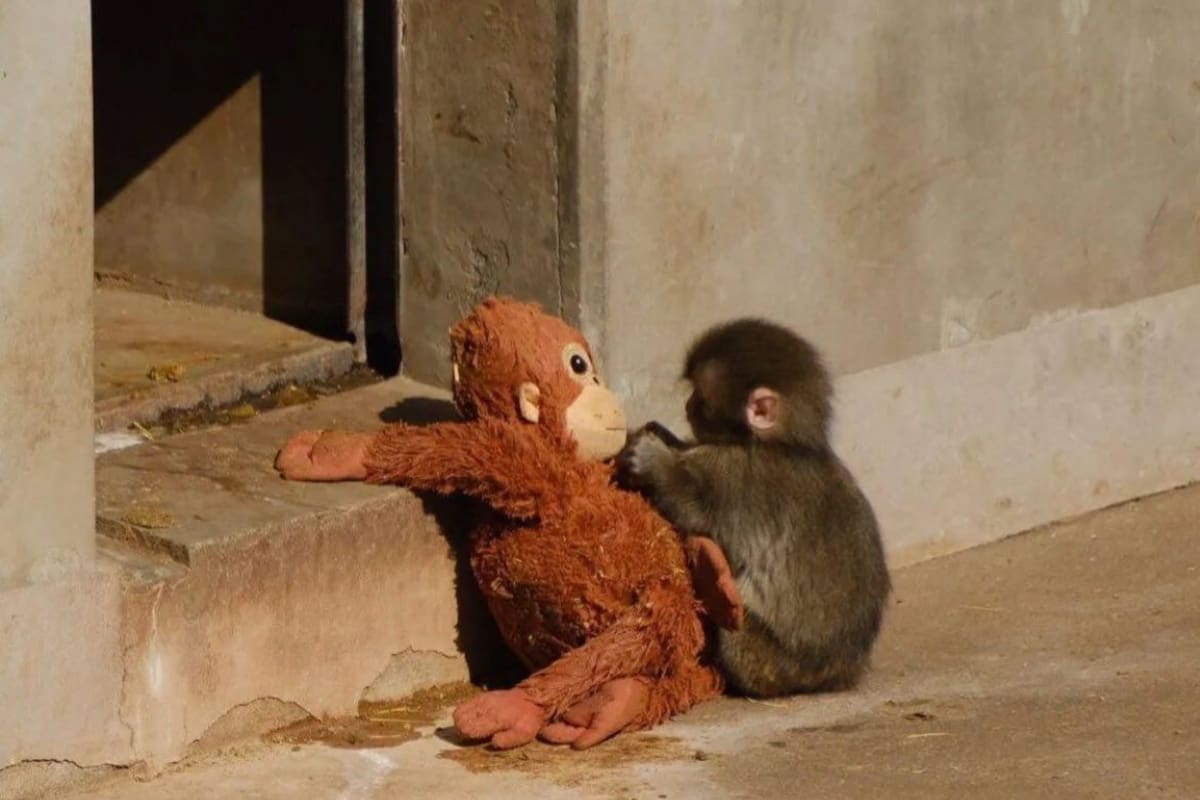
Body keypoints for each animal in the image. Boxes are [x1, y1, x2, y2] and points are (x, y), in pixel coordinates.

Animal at [616, 318, 891, 698]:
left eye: (701, 397)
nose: (687, 405)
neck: (782, 444)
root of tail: (836, 675)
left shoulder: (737, 477)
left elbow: (698, 514)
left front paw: (654, 460)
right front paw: (664, 436)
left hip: (766, 662)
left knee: (735, 631)